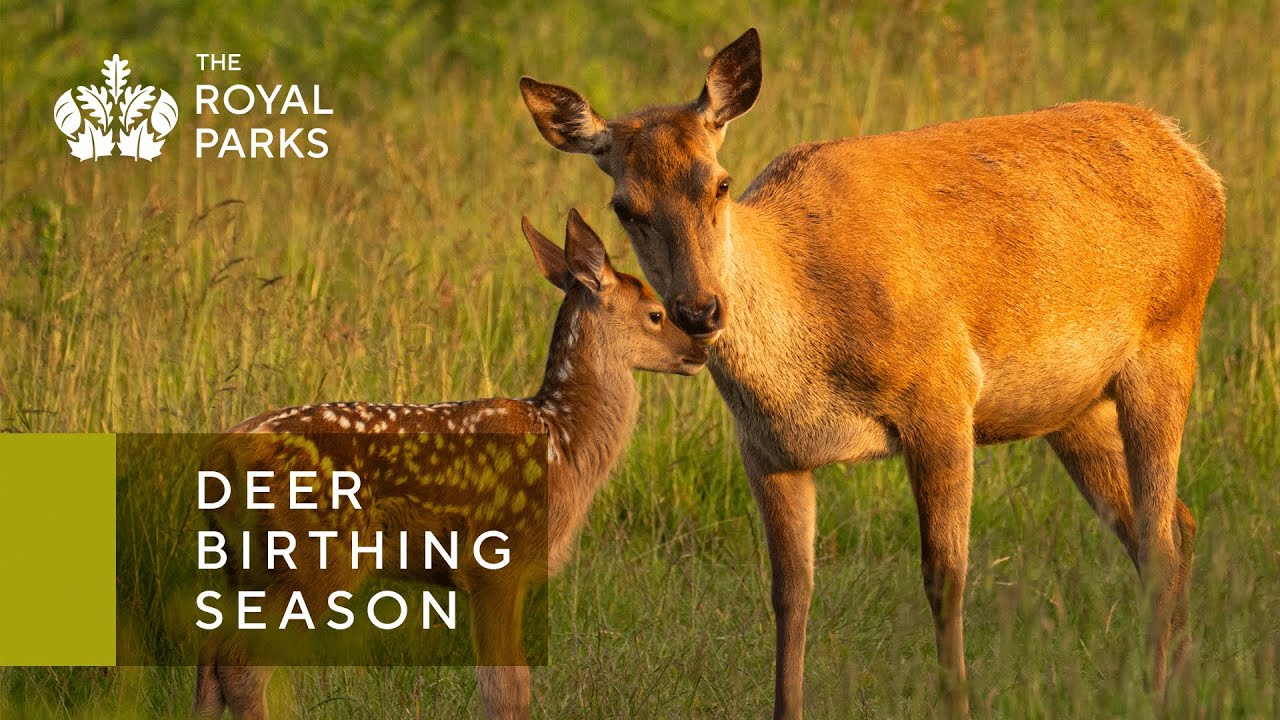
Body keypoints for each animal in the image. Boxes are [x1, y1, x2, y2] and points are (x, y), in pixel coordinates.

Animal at [192, 209, 708, 720]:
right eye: (656, 314)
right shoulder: (494, 562)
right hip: (312, 557)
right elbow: (507, 685)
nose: (701, 350)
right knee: (240, 665)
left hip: (245, 565)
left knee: (210, 656)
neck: (563, 439)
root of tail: (221, 453)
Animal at [520, 28, 1224, 718]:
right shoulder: (767, 449)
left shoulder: (942, 395)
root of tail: (1197, 163)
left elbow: (945, 577)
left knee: (1160, 534)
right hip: (1074, 406)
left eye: (719, 182)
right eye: (624, 206)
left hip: (1169, 339)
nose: (699, 309)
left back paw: (1158, 689)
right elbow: (790, 594)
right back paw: (1179, 681)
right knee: (1173, 523)